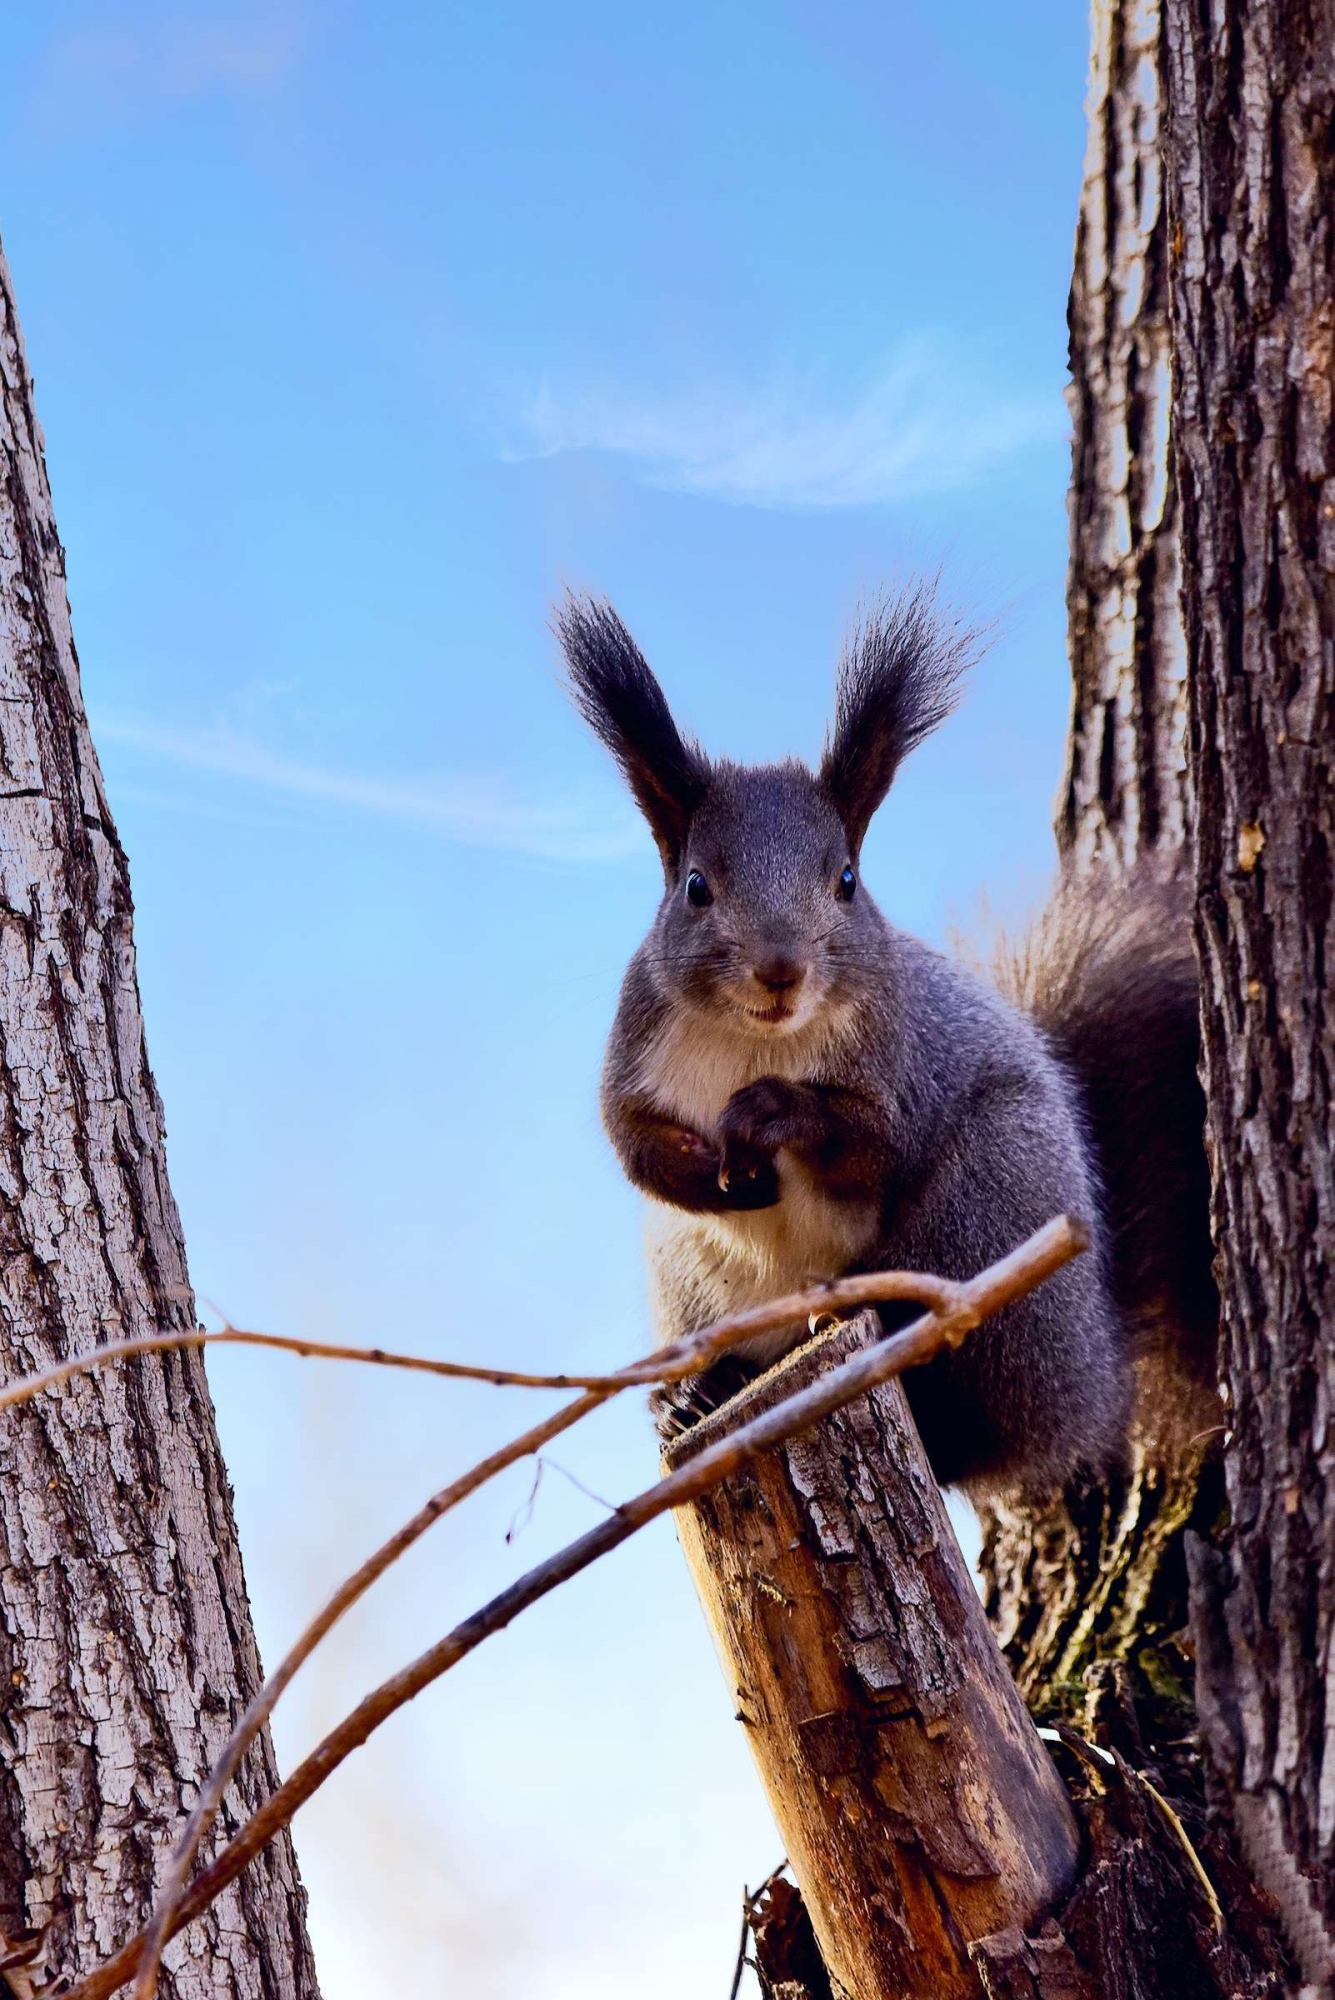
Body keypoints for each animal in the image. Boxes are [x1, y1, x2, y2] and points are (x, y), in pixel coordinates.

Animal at [559, 584, 1215, 1496]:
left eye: (845, 881)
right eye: (694, 887)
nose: (779, 971)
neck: (760, 1038)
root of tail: (1094, 1370)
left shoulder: (896, 1059)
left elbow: (872, 1147)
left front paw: (773, 1112)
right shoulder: (636, 1038)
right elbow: (628, 1142)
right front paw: (701, 1173)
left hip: (985, 1216)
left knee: (962, 1428)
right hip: (689, 1272)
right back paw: (694, 1396)